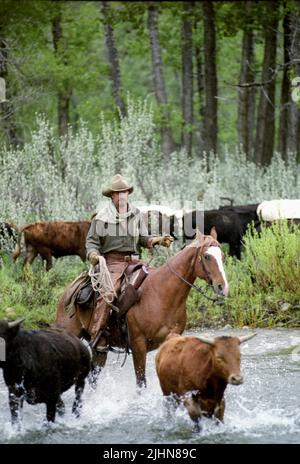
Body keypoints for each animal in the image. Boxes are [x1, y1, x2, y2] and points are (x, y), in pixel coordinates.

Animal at [54, 229, 227, 388]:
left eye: (222, 256)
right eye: (207, 256)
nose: (223, 287)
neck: (161, 293)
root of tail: (67, 291)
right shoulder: (138, 344)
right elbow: (141, 382)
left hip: (99, 351)